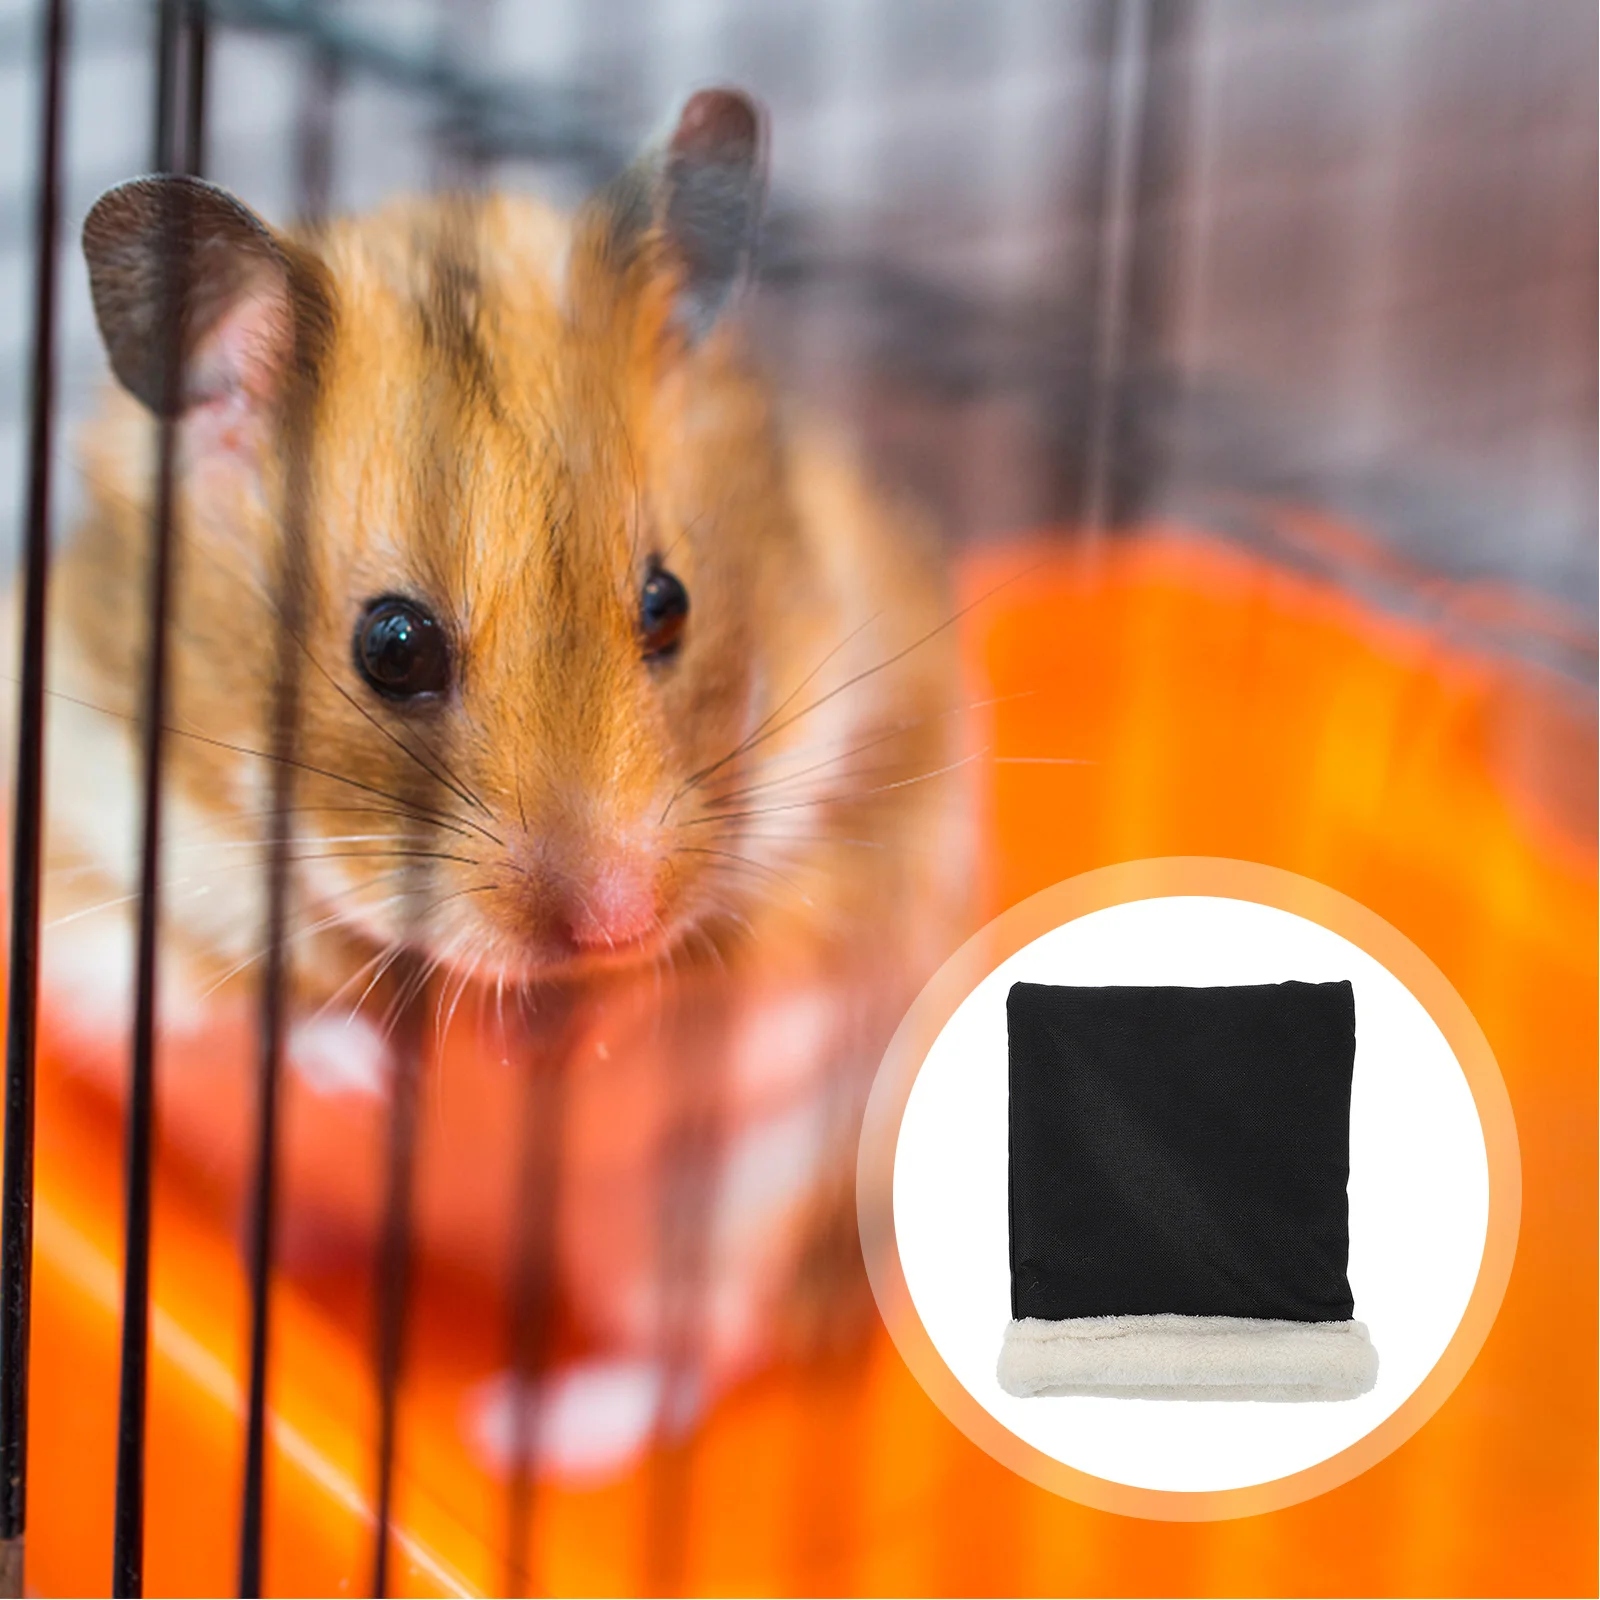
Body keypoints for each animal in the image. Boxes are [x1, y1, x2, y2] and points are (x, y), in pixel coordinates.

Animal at [34, 90, 972, 1446]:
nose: (621, 921)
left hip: (715, 1218)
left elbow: (705, 980)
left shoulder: (839, 848)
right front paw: (397, 1079)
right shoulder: (104, 853)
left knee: (696, 1355)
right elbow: (259, 1000)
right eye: (393, 646)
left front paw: (546, 1046)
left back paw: (523, 1426)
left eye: (670, 602)